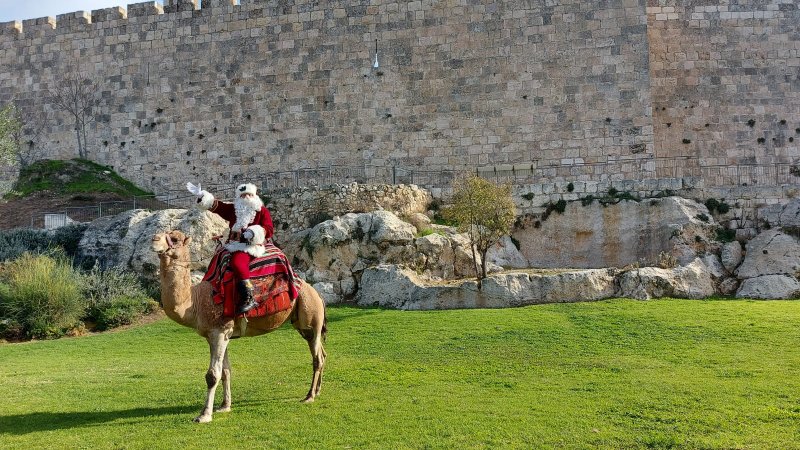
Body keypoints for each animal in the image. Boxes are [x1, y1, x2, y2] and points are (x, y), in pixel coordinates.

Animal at [152, 230, 326, 424]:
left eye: (174, 239)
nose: (154, 239)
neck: (195, 301)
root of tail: (318, 294)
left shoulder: (219, 331)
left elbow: (212, 375)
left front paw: (204, 415)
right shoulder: (218, 335)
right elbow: (225, 371)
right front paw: (224, 406)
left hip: (311, 316)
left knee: (317, 357)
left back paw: (309, 396)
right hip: (303, 325)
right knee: (322, 353)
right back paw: (318, 391)